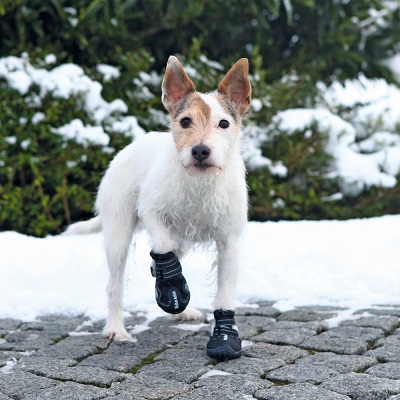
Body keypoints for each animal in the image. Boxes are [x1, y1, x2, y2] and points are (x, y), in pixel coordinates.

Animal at [67, 55, 252, 360]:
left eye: (224, 123)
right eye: (185, 121)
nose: (200, 150)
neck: (199, 183)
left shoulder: (230, 242)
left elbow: (225, 292)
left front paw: (225, 338)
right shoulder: (151, 211)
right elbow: (162, 247)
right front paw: (171, 285)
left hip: (182, 240)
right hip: (118, 235)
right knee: (115, 285)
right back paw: (116, 328)